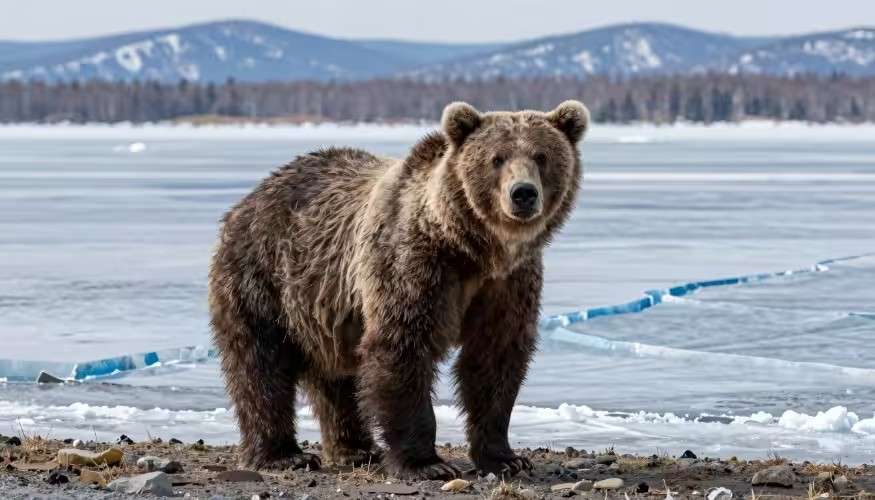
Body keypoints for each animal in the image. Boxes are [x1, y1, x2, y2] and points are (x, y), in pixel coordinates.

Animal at [208, 100, 589, 479]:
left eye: (541, 156)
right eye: (496, 158)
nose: (523, 193)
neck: (473, 249)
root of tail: (249, 198)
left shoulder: (507, 283)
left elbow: (494, 358)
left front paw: (505, 457)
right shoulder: (414, 265)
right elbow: (403, 346)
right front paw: (426, 463)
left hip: (326, 308)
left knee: (337, 377)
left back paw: (355, 449)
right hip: (263, 278)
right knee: (261, 363)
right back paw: (283, 454)